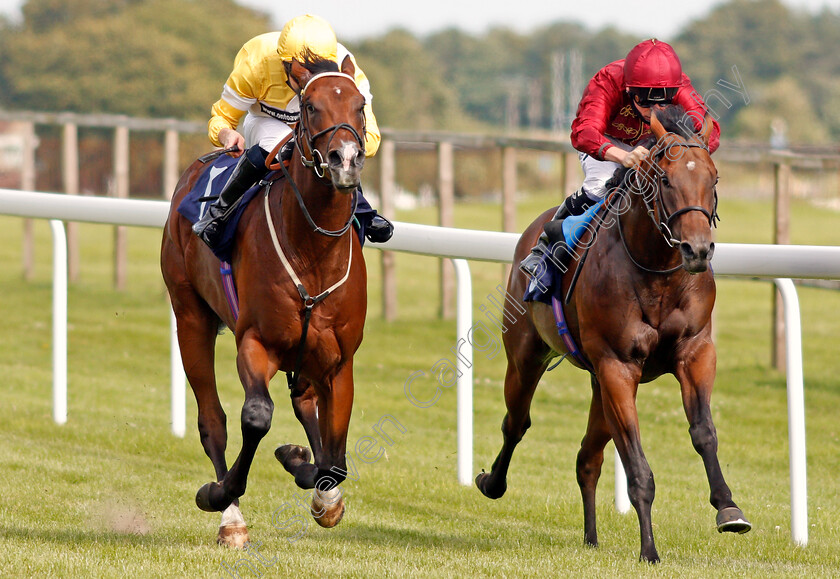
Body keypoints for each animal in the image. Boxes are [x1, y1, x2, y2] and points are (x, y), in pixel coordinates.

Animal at [159, 54, 366, 548]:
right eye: (310, 106)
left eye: (361, 105)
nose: (345, 160)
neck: (314, 249)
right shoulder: (255, 341)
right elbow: (254, 417)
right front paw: (219, 493)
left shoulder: (339, 360)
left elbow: (336, 460)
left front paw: (319, 489)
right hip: (190, 316)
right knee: (212, 420)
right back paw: (229, 516)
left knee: (306, 406)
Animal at [476, 107, 752, 560]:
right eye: (665, 179)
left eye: (713, 179)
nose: (697, 250)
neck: (657, 272)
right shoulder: (617, 366)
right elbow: (637, 463)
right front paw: (650, 551)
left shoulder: (694, 353)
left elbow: (704, 432)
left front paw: (728, 508)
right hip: (526, 357)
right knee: (516, 423)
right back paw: (491, 482)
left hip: (597, 383)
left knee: (587, 457)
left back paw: (591, 536)